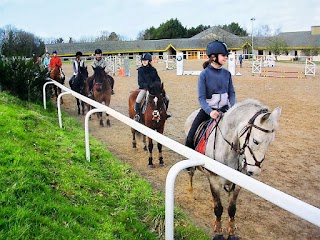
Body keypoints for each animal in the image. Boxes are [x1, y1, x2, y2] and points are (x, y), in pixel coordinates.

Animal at [184, 98, 282, 240]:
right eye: (255, 141)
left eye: (270, 142)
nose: (254, 171)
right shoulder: (214, 180)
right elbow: (218, 208)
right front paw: (219, 233)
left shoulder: (237, 185)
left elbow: (231, 209)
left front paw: (231, 233)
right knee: (191, 174)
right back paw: (190, 193)